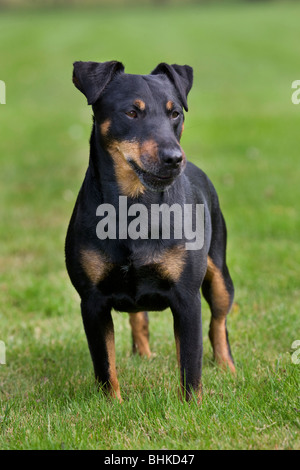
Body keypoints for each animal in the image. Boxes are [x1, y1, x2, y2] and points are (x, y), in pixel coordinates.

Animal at [64, 60, 236, 402]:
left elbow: (191, 362)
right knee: (138, 318)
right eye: (131, 112)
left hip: (220, 274)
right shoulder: (91, 301)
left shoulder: (186, 297)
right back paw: (143, 355)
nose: (174, 158)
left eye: (175, 113)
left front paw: (192, 406)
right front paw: (112, 405)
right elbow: (105, 363)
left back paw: (227, 368)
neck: (134, 206)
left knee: (218, 322)